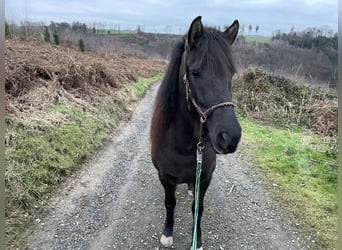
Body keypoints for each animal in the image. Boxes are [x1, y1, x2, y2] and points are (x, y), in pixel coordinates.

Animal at [151, 16, 242, 249]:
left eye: (231, 74)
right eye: (195, 73)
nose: (230, 137)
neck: (184, 146)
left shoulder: (206, 177)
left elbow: (197, 208)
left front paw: (197, 240)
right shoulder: (165, 177)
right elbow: (170, 203)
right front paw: (167, 233)